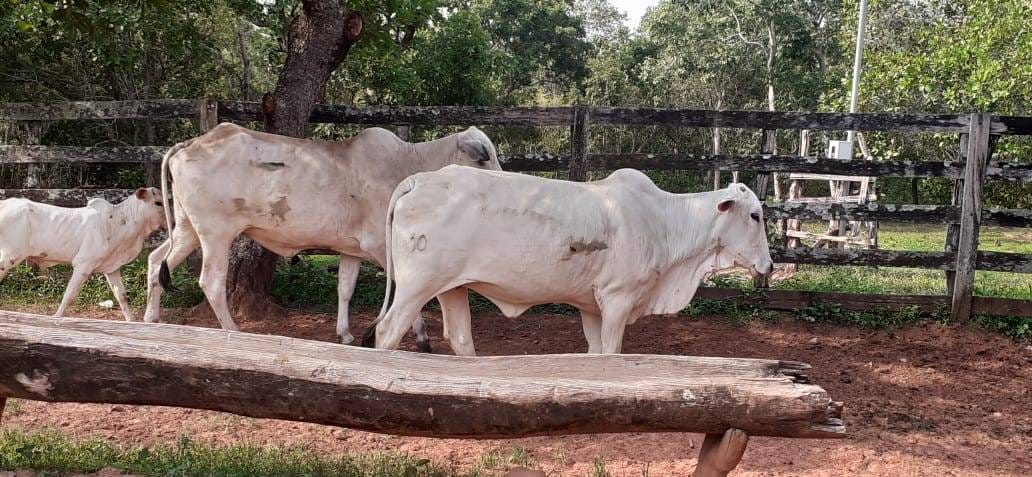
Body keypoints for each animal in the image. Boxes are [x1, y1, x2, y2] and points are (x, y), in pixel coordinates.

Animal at [0, 187, 164, 322]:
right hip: (10, 257)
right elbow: (69, 295)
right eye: (158, 202)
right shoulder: (83, 264)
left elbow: (121, 295)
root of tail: (5, 204)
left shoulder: (112, 268)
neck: (118, 223)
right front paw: (57, 317)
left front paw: (131, 321)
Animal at [144, 122, 499, 346]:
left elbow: (345, 288)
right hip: (216, 233)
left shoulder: (352, 250)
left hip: (187, 230)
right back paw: (234, 330)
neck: (409, 165)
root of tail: (192, 142)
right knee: (211, 282)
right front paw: (423, 337)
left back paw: (149, 320)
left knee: (155, 261)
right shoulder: (384, 248)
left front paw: (345, 333)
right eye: (484, 157)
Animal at [363, 166, 776, 355]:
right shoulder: (617, 300)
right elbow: (610, 353)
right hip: (416, 287)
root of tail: (419, 179)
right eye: (756, 215)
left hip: (452, 286)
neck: (663, 222)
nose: (770, 266)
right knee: (387, 332)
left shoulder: (591, 306)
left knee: (461, 337)